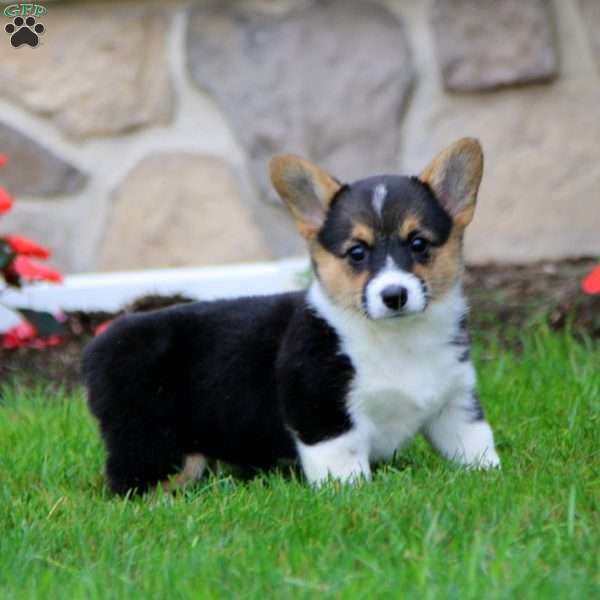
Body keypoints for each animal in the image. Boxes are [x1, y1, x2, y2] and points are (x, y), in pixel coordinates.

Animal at [82, 138, 500, 494]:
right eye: (357, 252)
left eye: (419, 244)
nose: (394, 295)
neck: (399, 339)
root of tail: (96, 348)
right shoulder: (324, 410)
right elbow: (344, 467)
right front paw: (355, 496)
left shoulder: (456, 403)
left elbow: (477, 444)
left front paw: (492, 475)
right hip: (155, 444)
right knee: (132, 485)